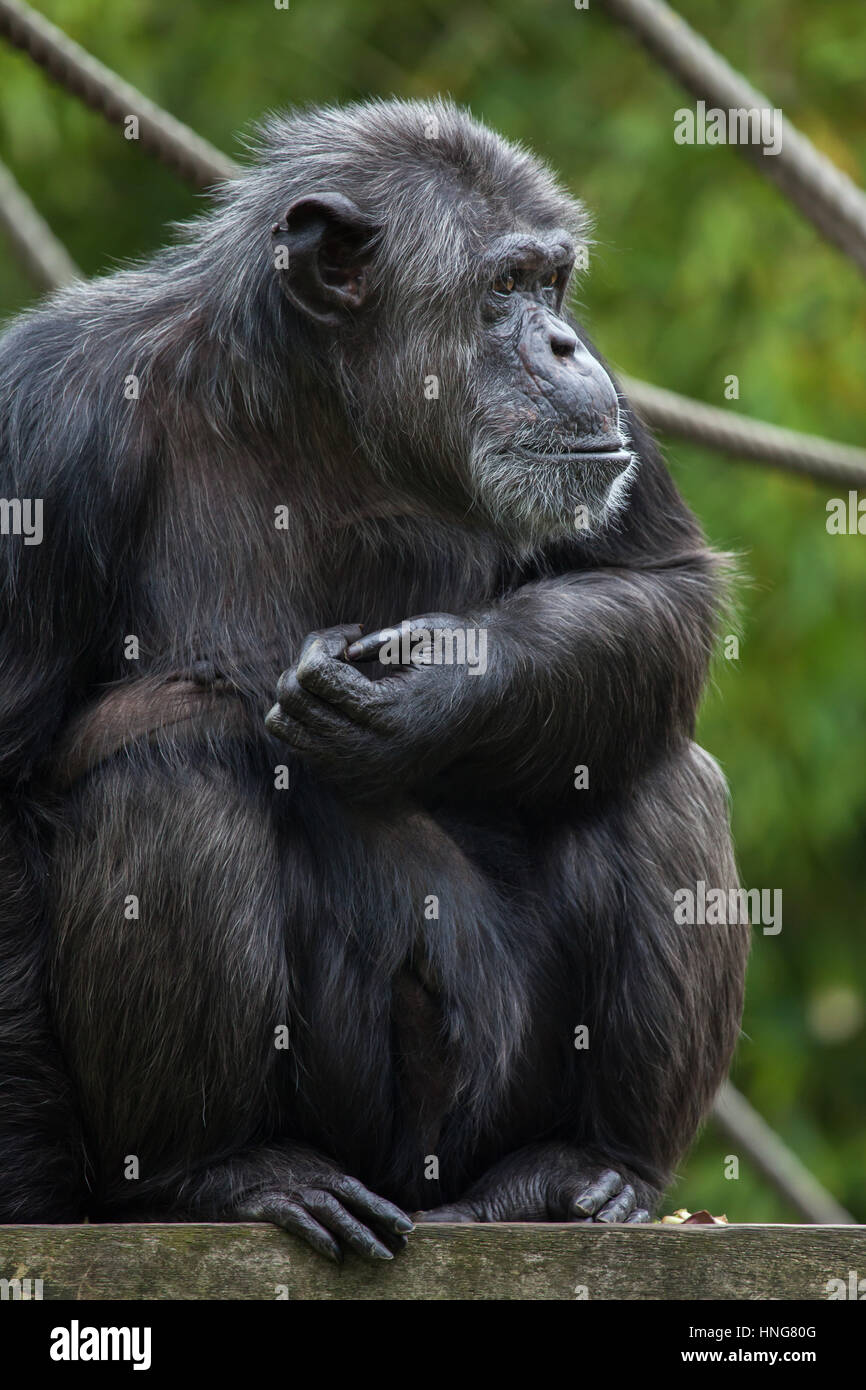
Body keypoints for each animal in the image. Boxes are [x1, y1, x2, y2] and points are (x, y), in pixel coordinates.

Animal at [0, 92, 745, 1256]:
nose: (565, 342)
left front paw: (434, 692)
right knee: (171, 752)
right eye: (502, 288)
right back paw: (223, 1170)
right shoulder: (42, 423)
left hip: (491, 1112)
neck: (325, 406)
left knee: (655, 767)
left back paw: (584, 1166)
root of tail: (426, 1186)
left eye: (551, 283)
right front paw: (33, 1196)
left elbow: (656, 583)